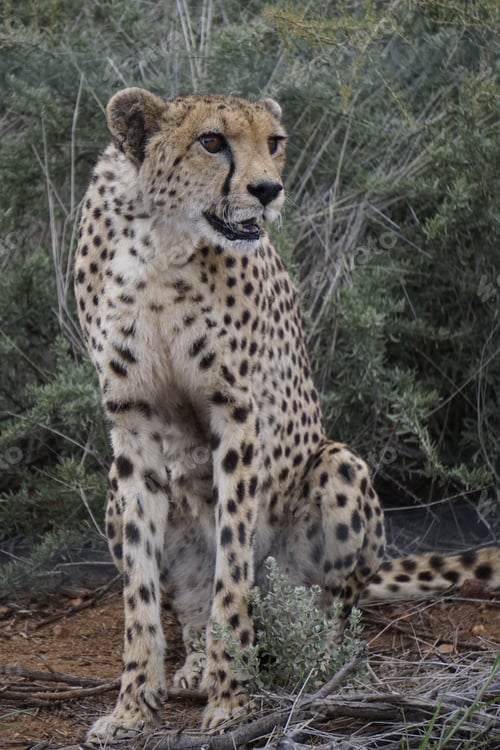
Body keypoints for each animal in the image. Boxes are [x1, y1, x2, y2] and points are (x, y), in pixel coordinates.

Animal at [74, 87, 500, 743]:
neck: (161, 241)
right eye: (211, 141)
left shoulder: (240, 415)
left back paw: (319, 662)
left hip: (339, 466)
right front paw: (132, 708)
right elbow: (141, 595)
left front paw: (231, 701)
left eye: (273, 142)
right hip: (115, 499)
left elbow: (232, 569)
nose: (268, 190)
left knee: (329, 606)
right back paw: (194, 665)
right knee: (189, 602)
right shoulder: (133, 419)